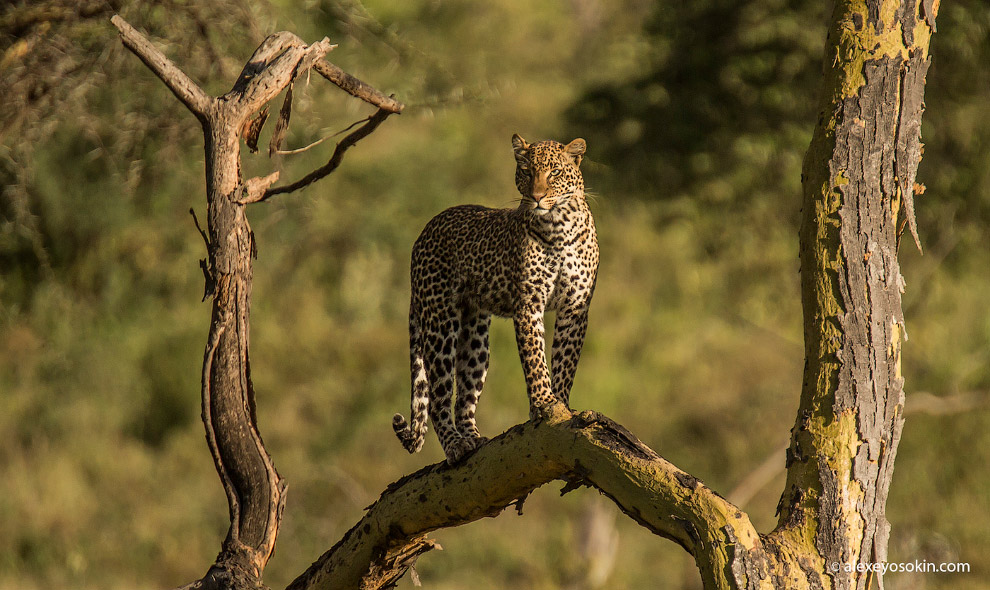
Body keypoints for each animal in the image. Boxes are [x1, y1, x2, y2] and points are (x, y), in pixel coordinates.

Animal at [392, 135, 600, 468]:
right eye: (526, 172)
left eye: (555, 172)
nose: (537, 197)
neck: (559, 225)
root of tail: (424, 232)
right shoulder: (529, 304)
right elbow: (535, 360)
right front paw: (543, 403)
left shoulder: (575, 307)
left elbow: (565, 361)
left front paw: (562, 404)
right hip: (440, 321)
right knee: (438, 397)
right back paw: (455, 445)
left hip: (475, 334)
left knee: (464, 396)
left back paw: (473, 439)